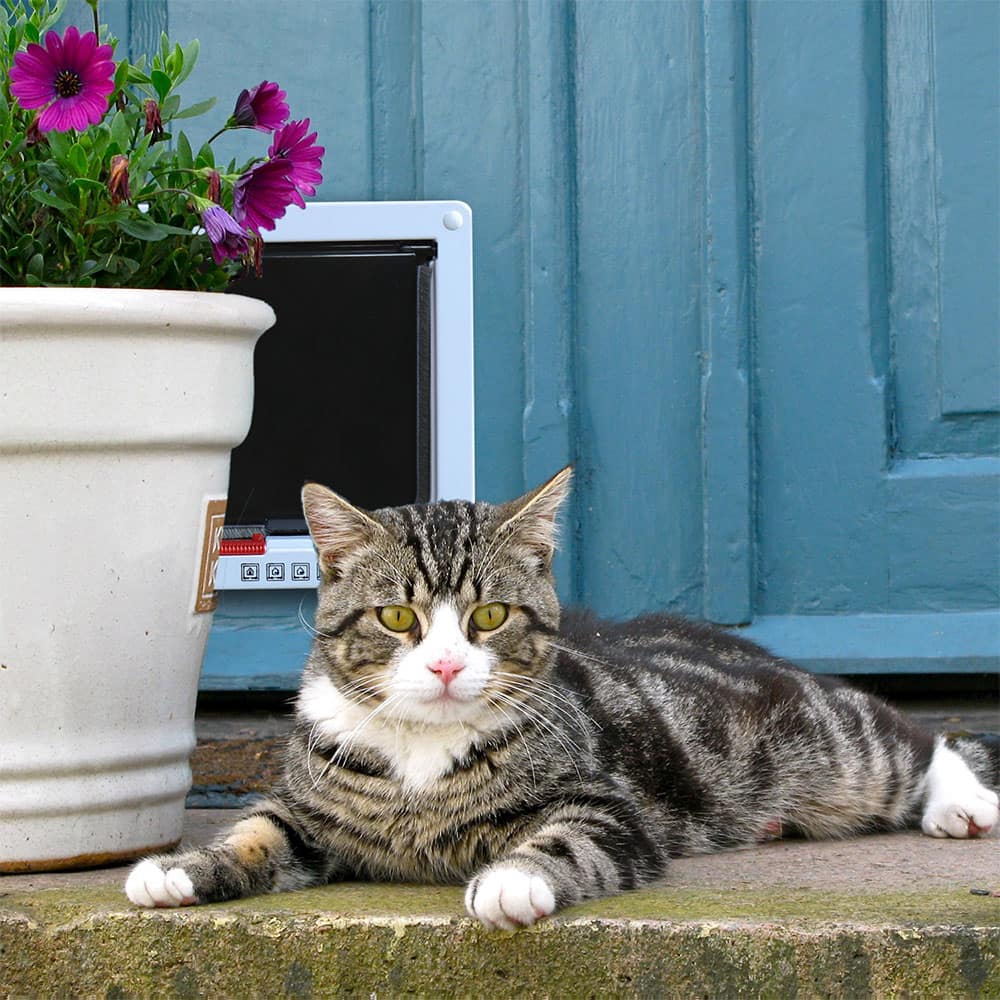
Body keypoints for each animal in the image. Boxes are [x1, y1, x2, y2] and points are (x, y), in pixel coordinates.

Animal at [126, 468, 999, 929]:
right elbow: (259, 832)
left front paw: (513, 878)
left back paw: (962, 801)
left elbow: (568, 837)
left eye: (488, 616)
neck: (419, 754)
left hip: (821, 740)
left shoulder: (606, 802)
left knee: (912, 737)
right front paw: (181, 868)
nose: (447, 667)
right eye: (398, 617)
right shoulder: (310, 809)